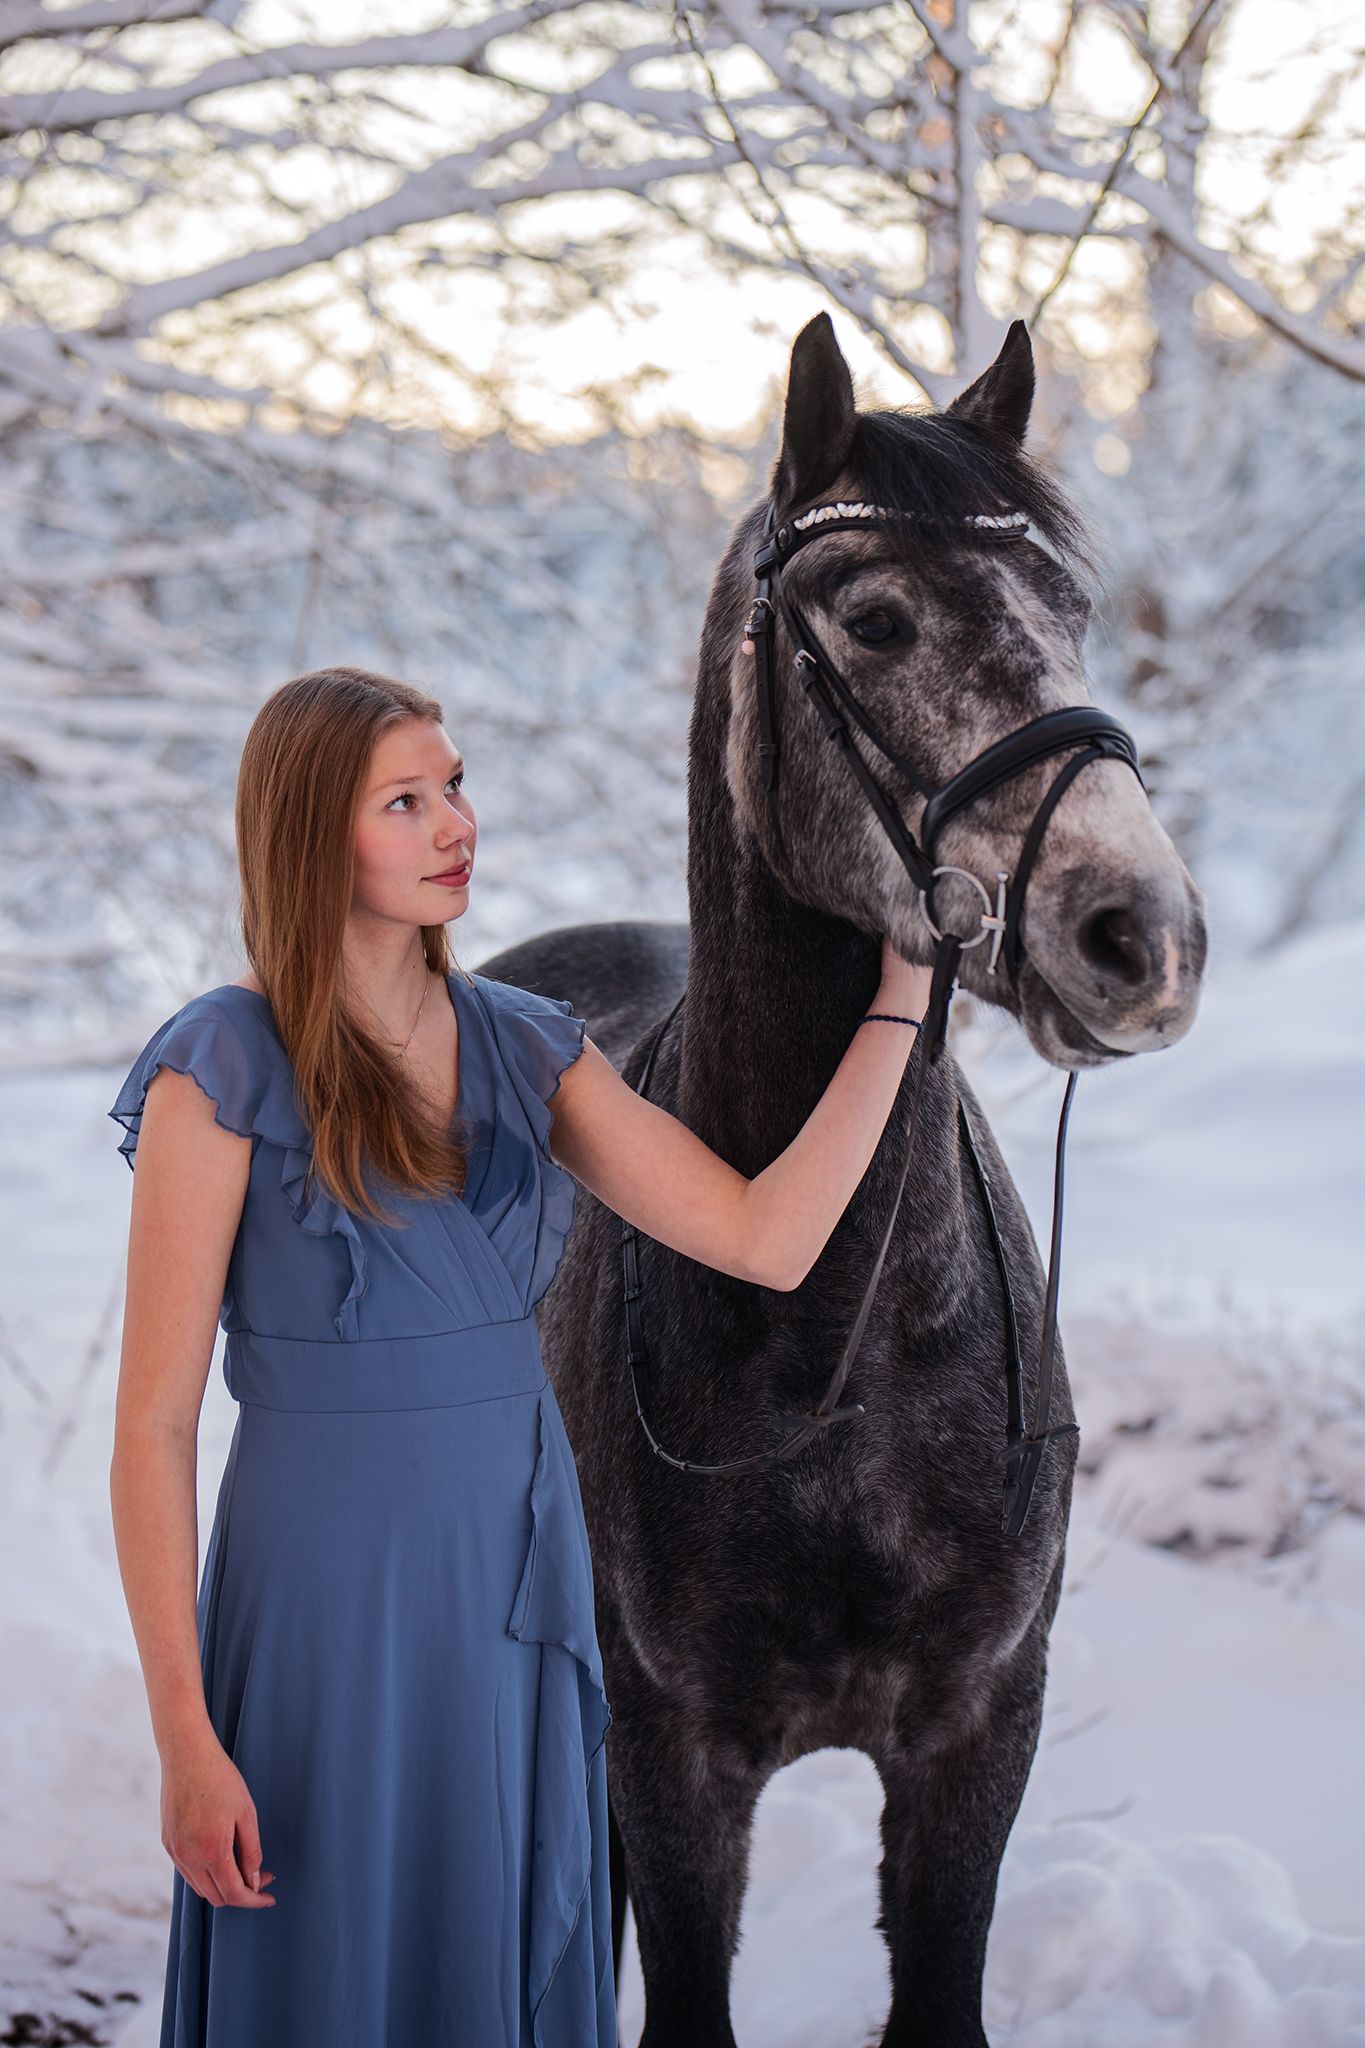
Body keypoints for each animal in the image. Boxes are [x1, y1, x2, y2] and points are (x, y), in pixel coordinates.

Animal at [478, 311, 1207, 2048]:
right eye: (874, 618)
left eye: (1072, 611)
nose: (1140, 935)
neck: (838, 1343)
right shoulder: (670, 1758)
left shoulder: (974, 1739)